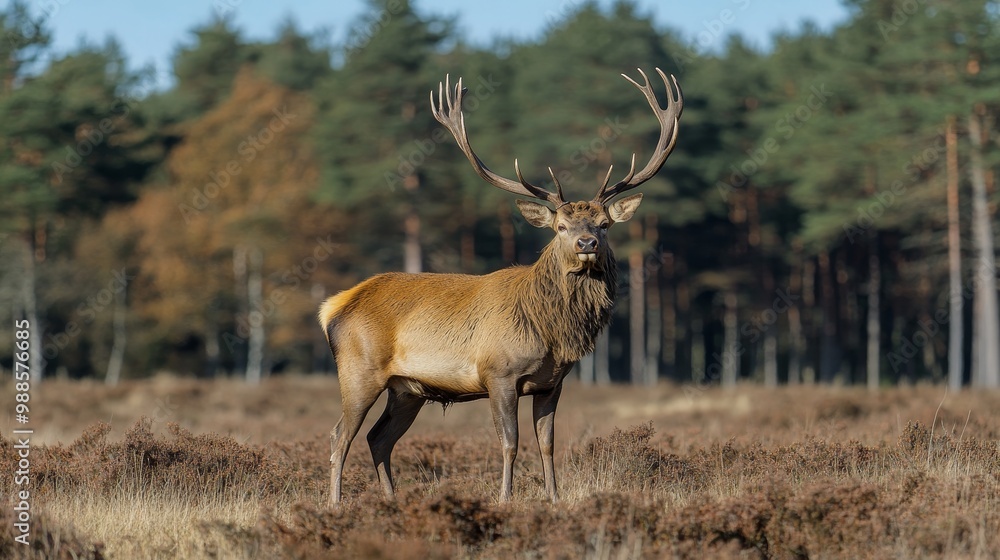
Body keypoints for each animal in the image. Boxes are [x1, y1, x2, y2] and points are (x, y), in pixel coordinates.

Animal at [319, 68, 682, 506]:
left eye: (604, 224)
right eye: (561, 227)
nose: (587, 244)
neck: (551, 330)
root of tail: (334, 306)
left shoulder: (552, 382)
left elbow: (547, 443)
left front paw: (554, 498)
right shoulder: (499, 374)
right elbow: (510, 442)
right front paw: (505, 498)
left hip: (408, 389)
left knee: (378, 438)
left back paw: (391, 500)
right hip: (359, 370)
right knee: (340, 436)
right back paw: (335, 503)